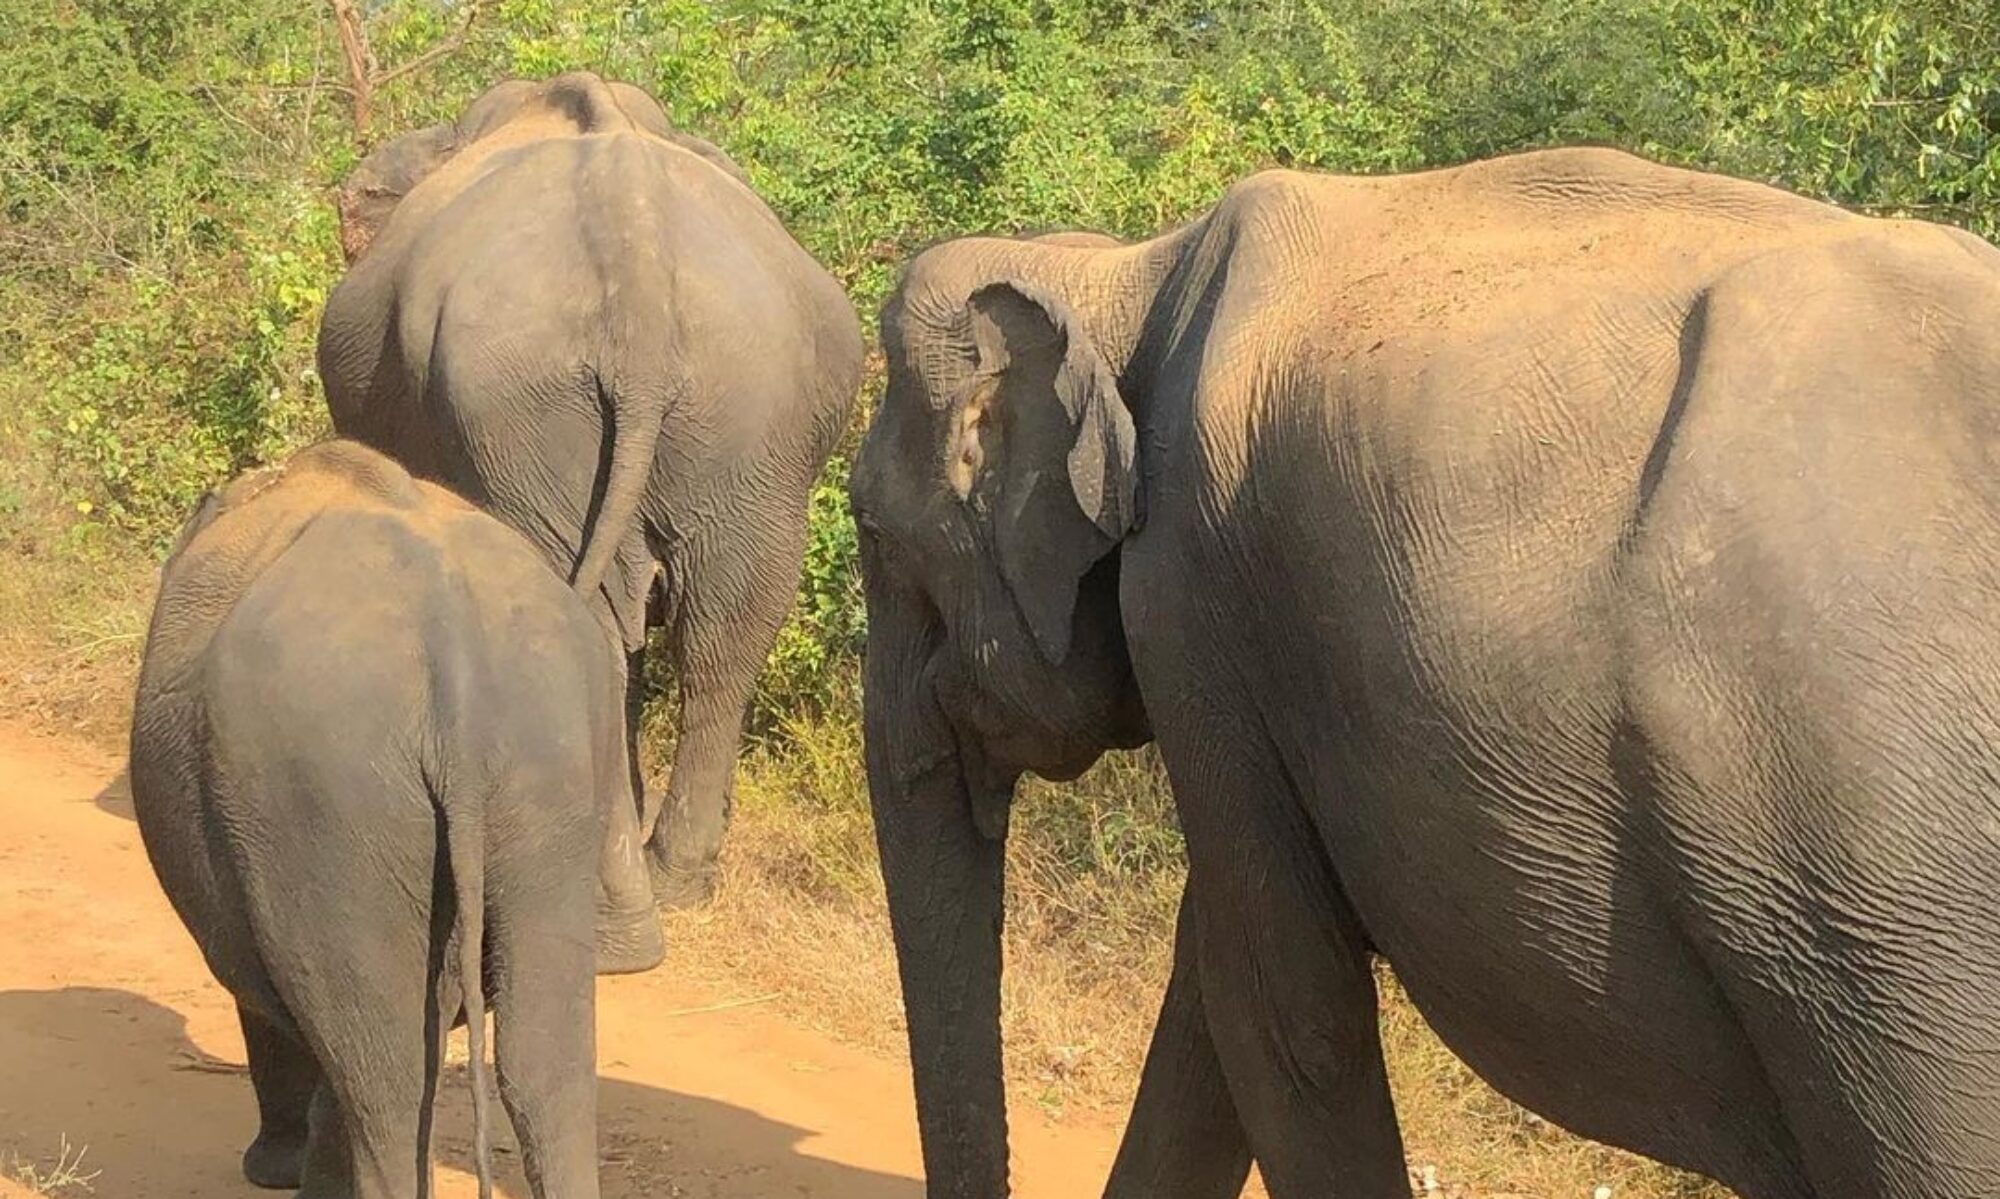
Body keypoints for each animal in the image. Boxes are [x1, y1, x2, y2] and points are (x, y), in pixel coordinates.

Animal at [131, 441, 664, 1199]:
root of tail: (459, 672)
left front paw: (273, 1171)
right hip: (548, 774)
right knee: (544, 1066)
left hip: (327, 799)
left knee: (387, 1078)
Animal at [852, 147, 2000, 1199]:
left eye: (871, 531)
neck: (1126, 269)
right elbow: (1217, 983)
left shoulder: (1195, 590)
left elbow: (1278, 1004)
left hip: (1882, 903)